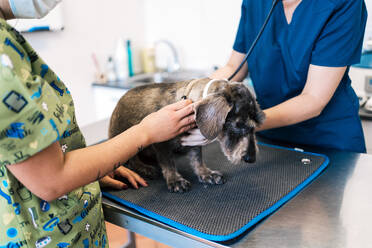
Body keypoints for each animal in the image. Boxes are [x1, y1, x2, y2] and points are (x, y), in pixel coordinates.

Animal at [107, 78, 264, 193]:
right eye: (239, 125)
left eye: (256, 125)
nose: (251, 158)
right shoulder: (161, 143)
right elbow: (168, 163)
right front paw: (175, 180)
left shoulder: (194, 143)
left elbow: (197, 159)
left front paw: (206, 174)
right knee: (133, 160)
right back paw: (145, 168)